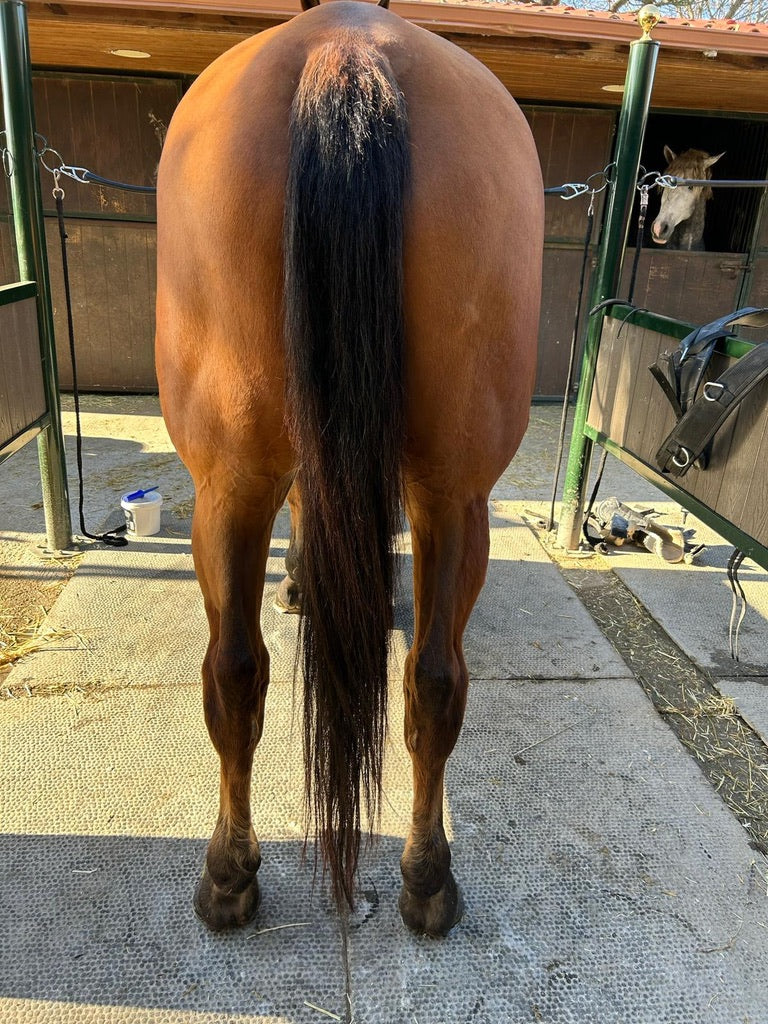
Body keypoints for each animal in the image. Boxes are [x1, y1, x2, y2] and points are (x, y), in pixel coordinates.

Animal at [155, 0, 543, 938]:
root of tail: (348, 43)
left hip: (233, 484)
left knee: (241, 672)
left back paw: (232, 872)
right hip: (448, 493)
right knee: (425, 680)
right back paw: (425, 879)